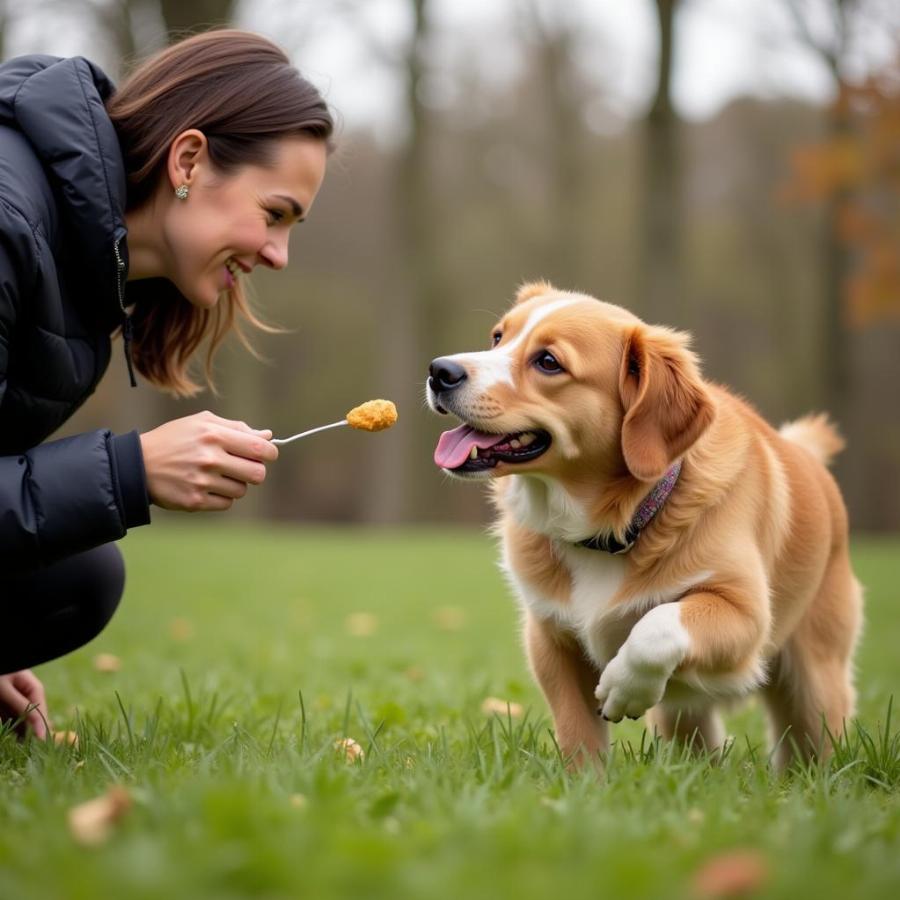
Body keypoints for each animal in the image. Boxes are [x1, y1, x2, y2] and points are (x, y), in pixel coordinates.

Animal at [428, 284, 864, 768]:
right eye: (497, 337)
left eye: (548, 362)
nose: (439, 371)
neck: (610, 529)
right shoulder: (551, 639)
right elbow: (579, 735)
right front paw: (584, 784)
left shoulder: (745, 615)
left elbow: (656, 624)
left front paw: (623, 687)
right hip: (687, 717)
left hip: (813, 684)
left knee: (812, 746)